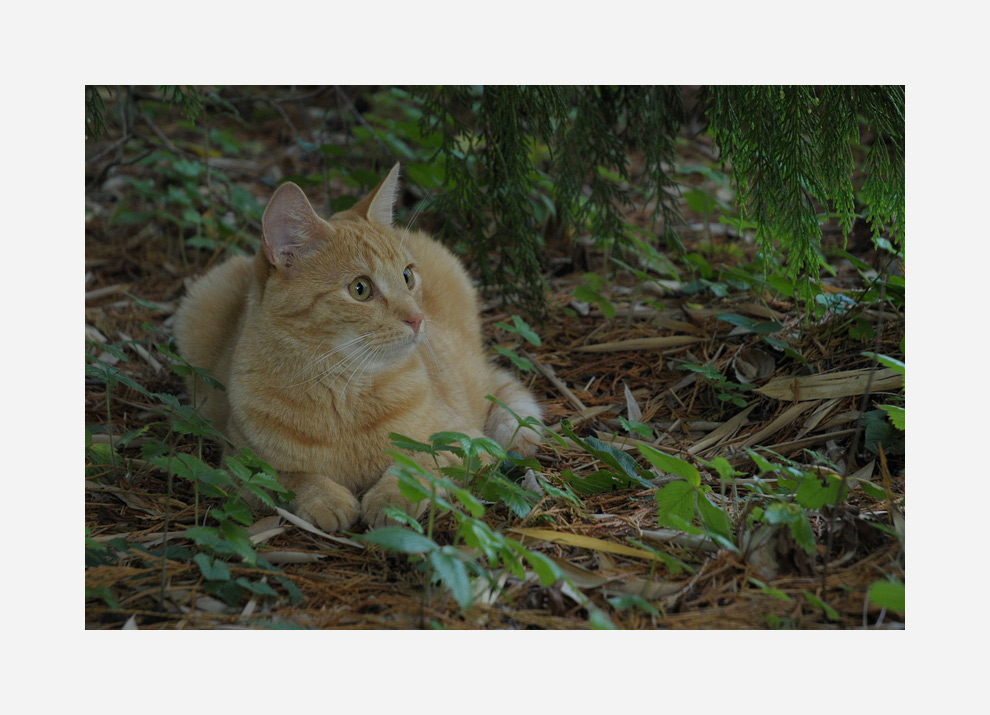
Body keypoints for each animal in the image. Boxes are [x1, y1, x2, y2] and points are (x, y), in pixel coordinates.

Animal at [172, 164, 544, 532]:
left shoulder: (468, 442)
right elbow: (289, 477)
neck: (343, 394)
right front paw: (324, 499)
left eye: (407, 276)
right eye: (360, 289)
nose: (417, 318)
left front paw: (390, 500)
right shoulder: (237, 464)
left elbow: (420, 462)